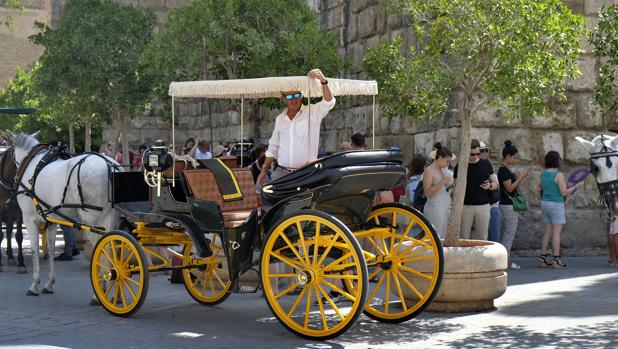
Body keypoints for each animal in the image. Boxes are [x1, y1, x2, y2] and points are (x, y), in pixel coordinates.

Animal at [6, 132, 119, 294]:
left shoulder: (29, 219)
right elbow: (51, 249)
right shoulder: (52, 221)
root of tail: (109, 165)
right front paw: (49, 283)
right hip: (111, 218)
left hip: (93, 221)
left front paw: (34, 284)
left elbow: (34, 251)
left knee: (100, 249)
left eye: (9, 152)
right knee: (112, 247)